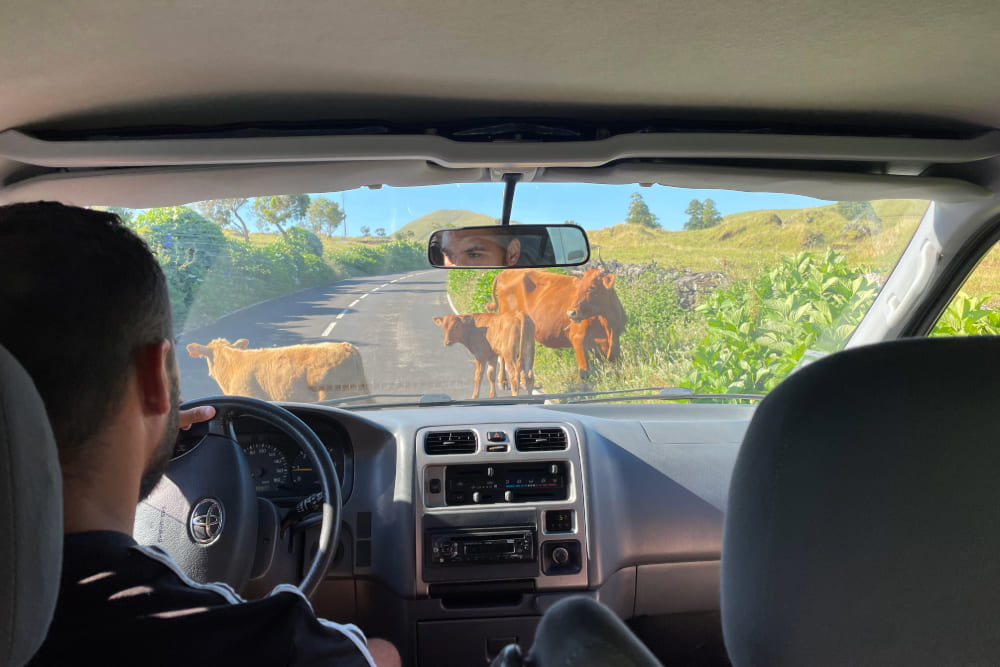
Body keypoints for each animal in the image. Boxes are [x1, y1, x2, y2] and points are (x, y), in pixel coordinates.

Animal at [490, 268, 624, 380]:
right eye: (578, 287)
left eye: (592, 287)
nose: (571, 313)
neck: (608, 326)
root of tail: (505, 272)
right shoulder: (578, 340)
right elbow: (584, 373)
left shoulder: (612, 345)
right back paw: (503, 381)